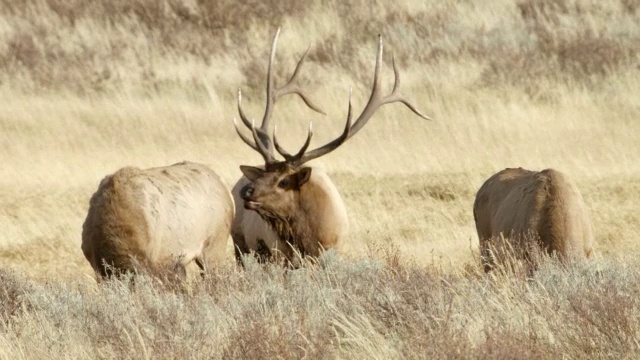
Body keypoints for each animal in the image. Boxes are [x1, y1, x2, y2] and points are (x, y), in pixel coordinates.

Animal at [230, 28, 430, 268]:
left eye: (284, 181)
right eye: (264, 175)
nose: (246, 190)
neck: (307, 238)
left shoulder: (333, 250)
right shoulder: (279, 254)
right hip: (240, 245)